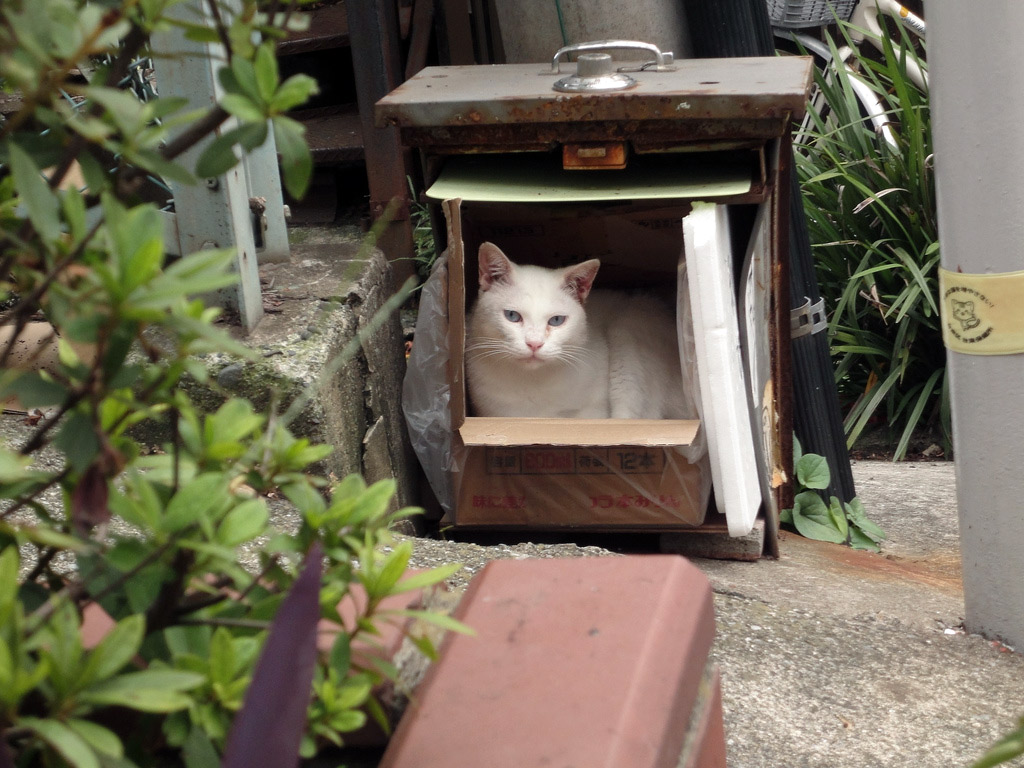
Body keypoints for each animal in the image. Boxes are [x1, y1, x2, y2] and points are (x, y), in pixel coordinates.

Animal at [466, 241, 688, 417]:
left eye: (556, 320)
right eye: (512, 316)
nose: (534, 344)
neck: (532, 380)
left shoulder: (593, 412)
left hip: (629, 333)